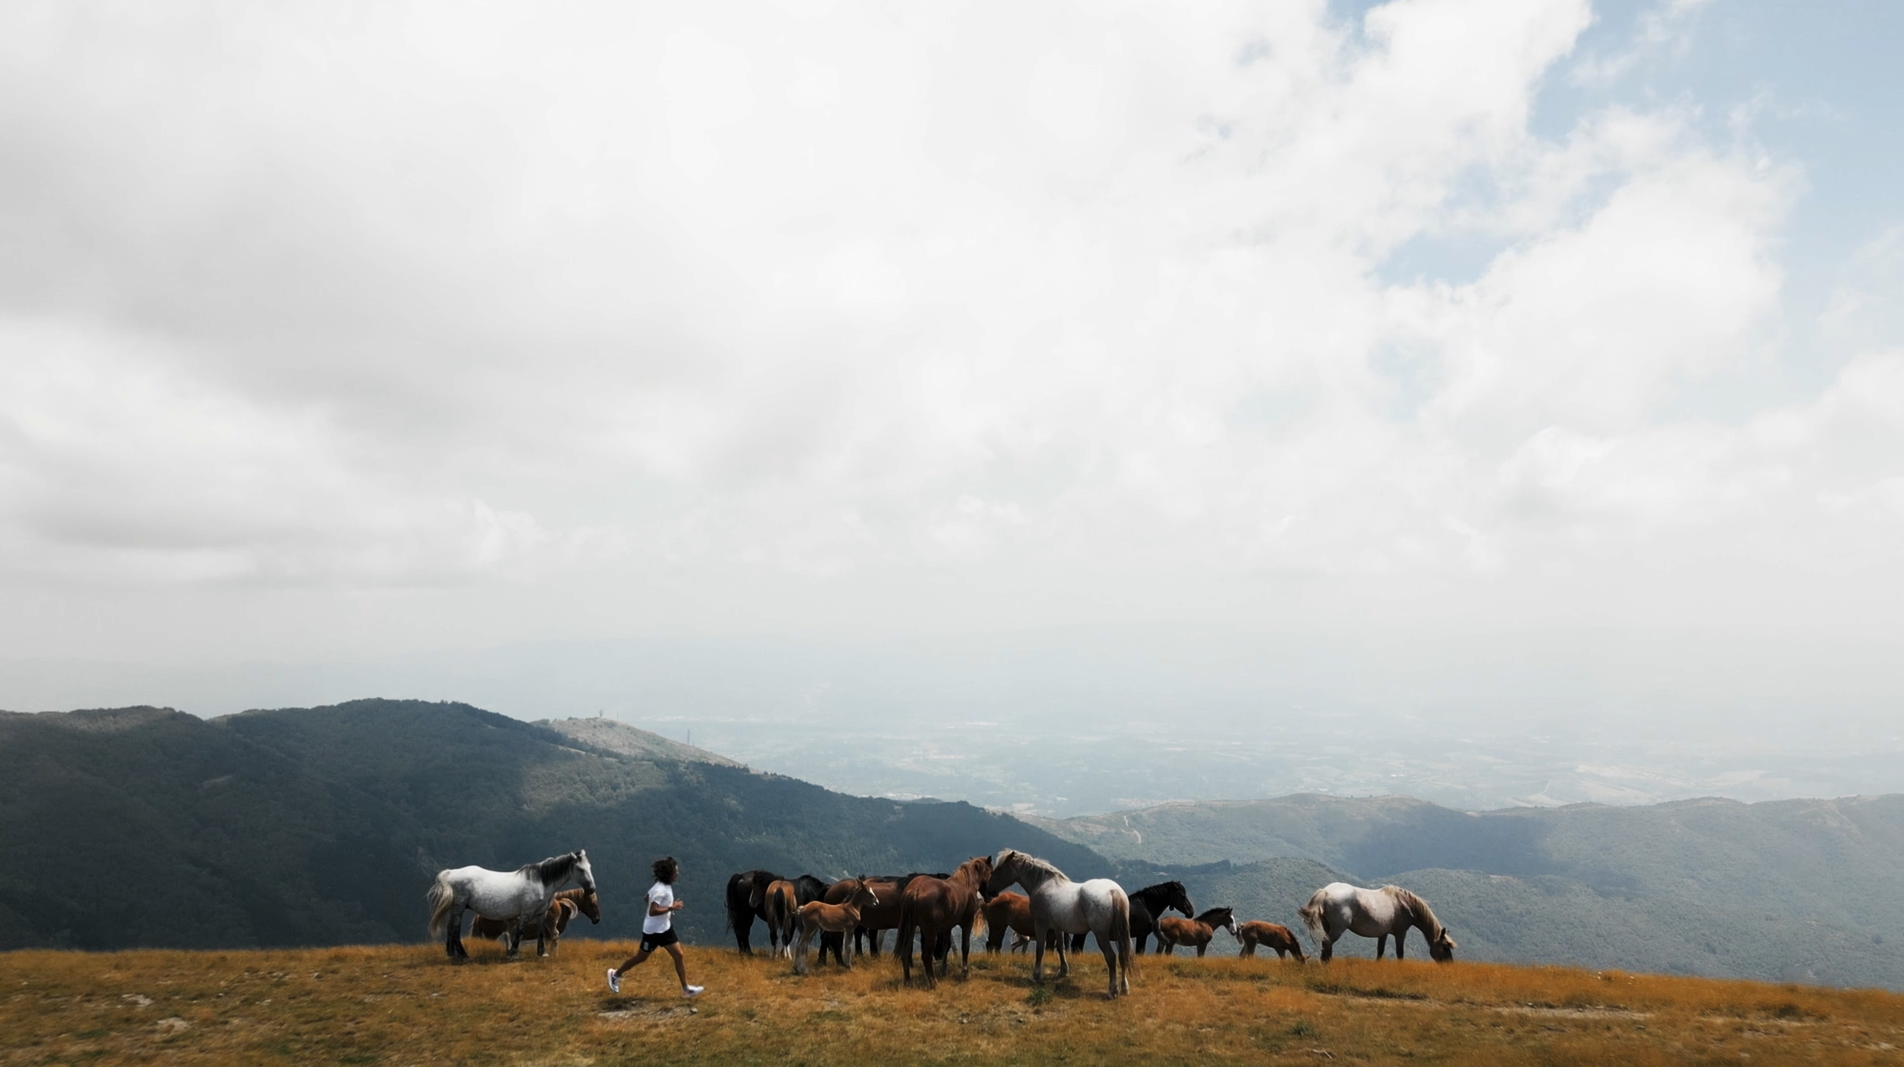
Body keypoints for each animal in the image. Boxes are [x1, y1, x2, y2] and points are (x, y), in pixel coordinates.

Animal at [896, 855, 993, 987]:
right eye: (992, 872)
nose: (991, 895)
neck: (966, 885)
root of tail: (915, 890)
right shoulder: (967, 923)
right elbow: (965, 947)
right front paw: (965, 973)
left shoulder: (948, 927)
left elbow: (946, 947)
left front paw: (944, 970)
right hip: (930, 931)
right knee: (926, 955)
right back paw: (933, 981)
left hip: (910, 928)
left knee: (905, 952)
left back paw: (908, 981)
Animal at [984, 849, 1134, 998]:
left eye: (999, 869)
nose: (989, 890)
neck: (1043, 883)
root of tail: (1113, 891)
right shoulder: (1057, 928)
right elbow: (1061, 948)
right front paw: (1063, 971)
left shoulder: (1041, 925)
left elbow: (1040, 950)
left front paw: (1035, 976)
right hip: (1119, 933)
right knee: (1122, 956)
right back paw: (1124, 987)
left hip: (1101, 935)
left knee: (1111, 957)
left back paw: (1113, 990)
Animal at [1298, 883, 1456, 964]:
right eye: (1445, 947)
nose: (1449, 964)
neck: (1405, 903)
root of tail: (1325, 892)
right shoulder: (1400, 933)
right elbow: (1400, 953)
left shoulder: (1383, 934)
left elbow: (1380, 951)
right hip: (1337, 929)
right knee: (1327, 944)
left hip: (1328, 927)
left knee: (1327, 945)